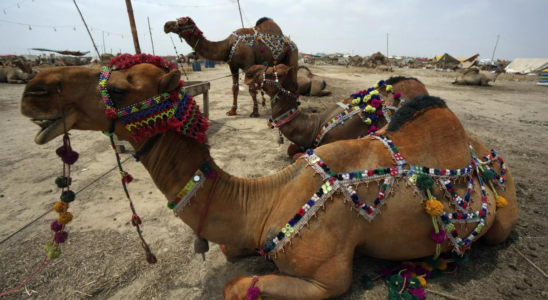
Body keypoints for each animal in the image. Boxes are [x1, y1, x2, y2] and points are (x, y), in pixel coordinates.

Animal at [165, 15, 298, 117]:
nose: (166, 25)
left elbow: (251, 89)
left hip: (293, 55)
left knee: (295, 81)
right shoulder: (233, 66)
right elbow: (235, 88)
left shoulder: (248, 64)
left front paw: (254, 112)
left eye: (181, 22)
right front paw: (232, 111)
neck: (228, 45)